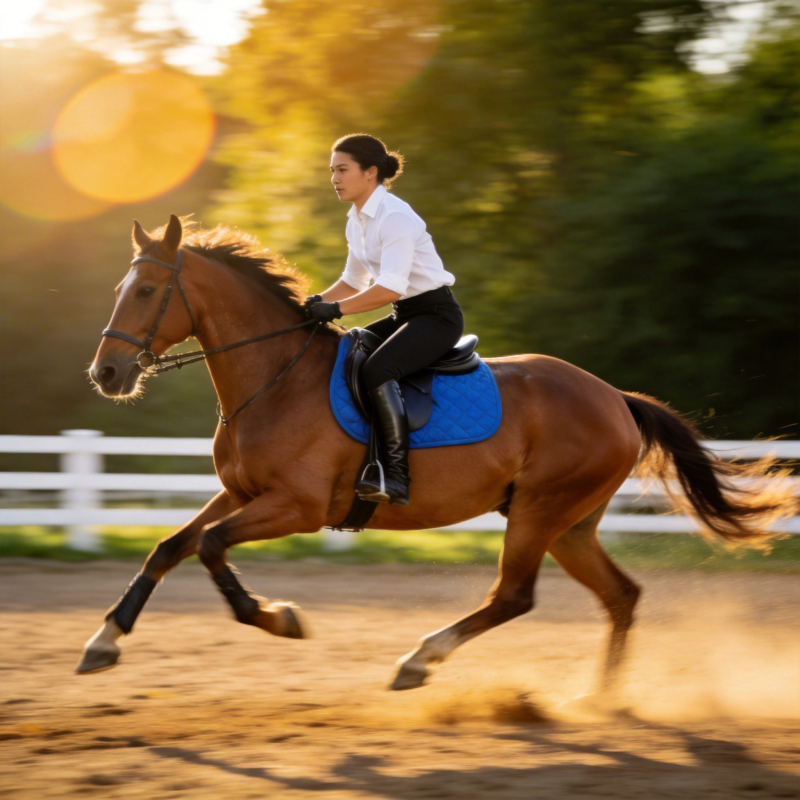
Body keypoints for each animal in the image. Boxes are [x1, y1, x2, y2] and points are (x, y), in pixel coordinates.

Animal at [80, 214, 794, 694]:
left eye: (146, 293)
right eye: (118, 289)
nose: (106, 374)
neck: (274, 378)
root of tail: (615, 397)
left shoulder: (297, 507)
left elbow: (208, 547)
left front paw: (278, 619)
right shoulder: (242, 493)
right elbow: (169, 547)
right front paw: (103, 641)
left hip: (540, 512)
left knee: (513, 597)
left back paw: (419, 660)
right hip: (570, 525)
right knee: (619, 596)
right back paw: (602, 701)